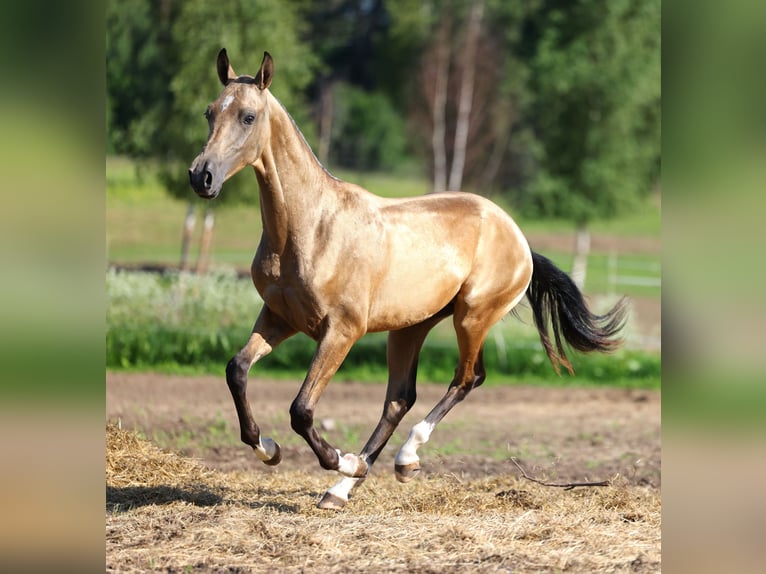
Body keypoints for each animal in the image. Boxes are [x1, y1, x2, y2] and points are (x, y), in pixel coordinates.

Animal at [189, 47, 628, 510]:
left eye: (248, 116)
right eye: (209, 112)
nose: (201, 176)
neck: (311, 228)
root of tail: (519, 238)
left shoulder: (341, 330)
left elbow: (301, 409)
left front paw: (340, 460)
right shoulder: (279, 317)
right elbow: (237, 370)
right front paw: (268, 449)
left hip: (472, 318)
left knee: (466, 378)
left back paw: (398, 459)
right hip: (410, 328)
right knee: (400, 398)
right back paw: (343, 488)